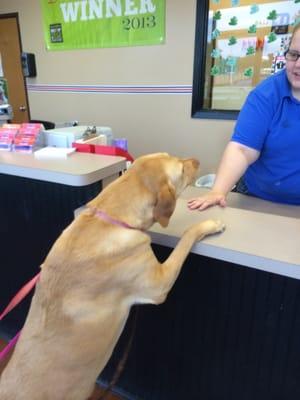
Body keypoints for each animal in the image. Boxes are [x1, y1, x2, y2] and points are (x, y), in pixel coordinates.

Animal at [0, 153, 225, 400]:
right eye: (182, 170)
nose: (196, 160)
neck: (111, 217)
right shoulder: (160, 284)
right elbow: (186, 237)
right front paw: (210, 224)